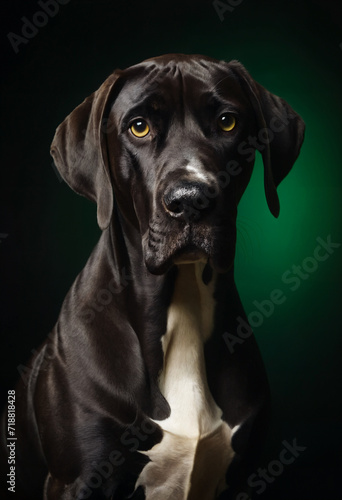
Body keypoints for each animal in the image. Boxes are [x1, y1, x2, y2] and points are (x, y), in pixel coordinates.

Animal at [0, 52, 304, 498]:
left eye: (228, 121)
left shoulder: (244, 476)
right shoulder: (77, 479)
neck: (181, 304)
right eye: (139, 126)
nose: (191, 200)